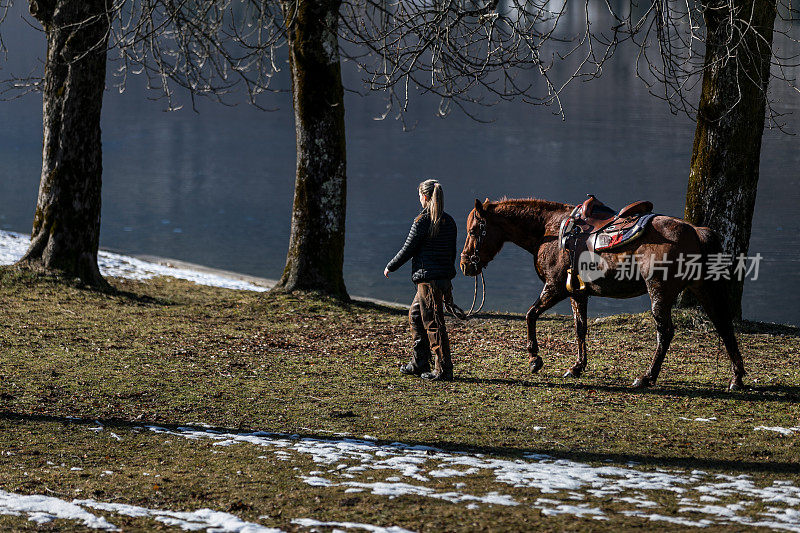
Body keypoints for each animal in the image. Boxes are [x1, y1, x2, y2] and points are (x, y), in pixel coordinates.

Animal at [460, 197, 748, 388]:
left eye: (474, 230)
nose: (465, 264)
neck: (549, 231)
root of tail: (697, 232)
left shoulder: (555, 287)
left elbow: (531, 315)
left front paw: (534, 359)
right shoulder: (577, 293)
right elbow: (580, 328)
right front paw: (577, 367)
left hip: (659, 291)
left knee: (665, 332)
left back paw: (647, 377)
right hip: (703, 287)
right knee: (723, 325)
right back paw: (736, 377)